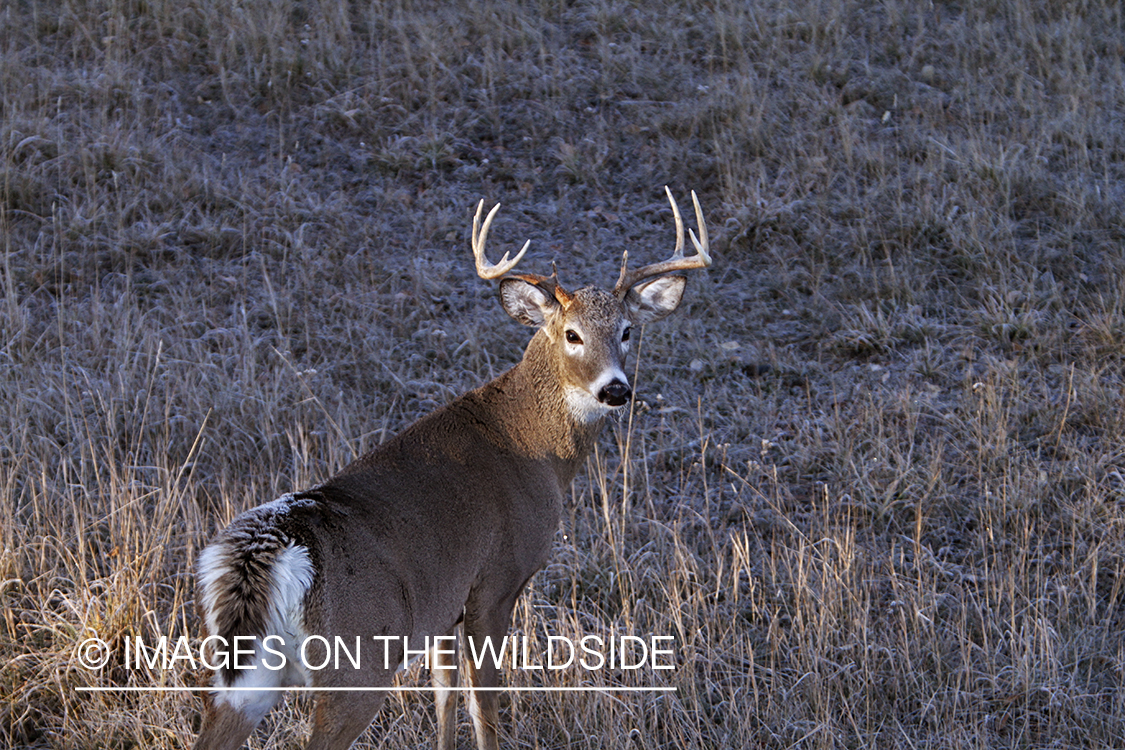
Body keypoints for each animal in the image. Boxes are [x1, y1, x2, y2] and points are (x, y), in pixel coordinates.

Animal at [189, 187, 706, 750]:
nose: (615, 389)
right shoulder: (496, 580)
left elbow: (444, 695)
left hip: (242, 676)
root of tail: (264, 551)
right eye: (572, 334)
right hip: (357, 663)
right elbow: (486, 704)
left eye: (628, 331)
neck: (531, 444)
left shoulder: (444, 601)